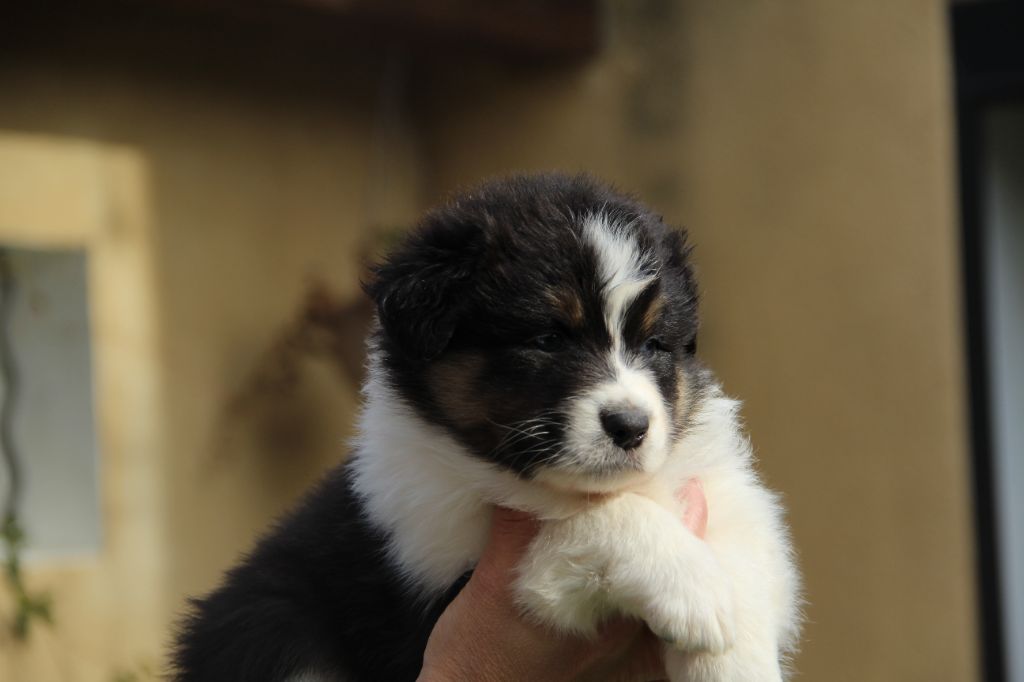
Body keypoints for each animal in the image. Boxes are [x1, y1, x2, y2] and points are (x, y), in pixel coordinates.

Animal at [172, 173, 802, 681]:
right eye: (547, 339)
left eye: (654, 344)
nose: (630, 426)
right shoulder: (461, 570)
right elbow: (593, 521)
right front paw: (693, 589)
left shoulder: (726, 495)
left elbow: (748, 558)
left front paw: (731, 649)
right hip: (267, 625)